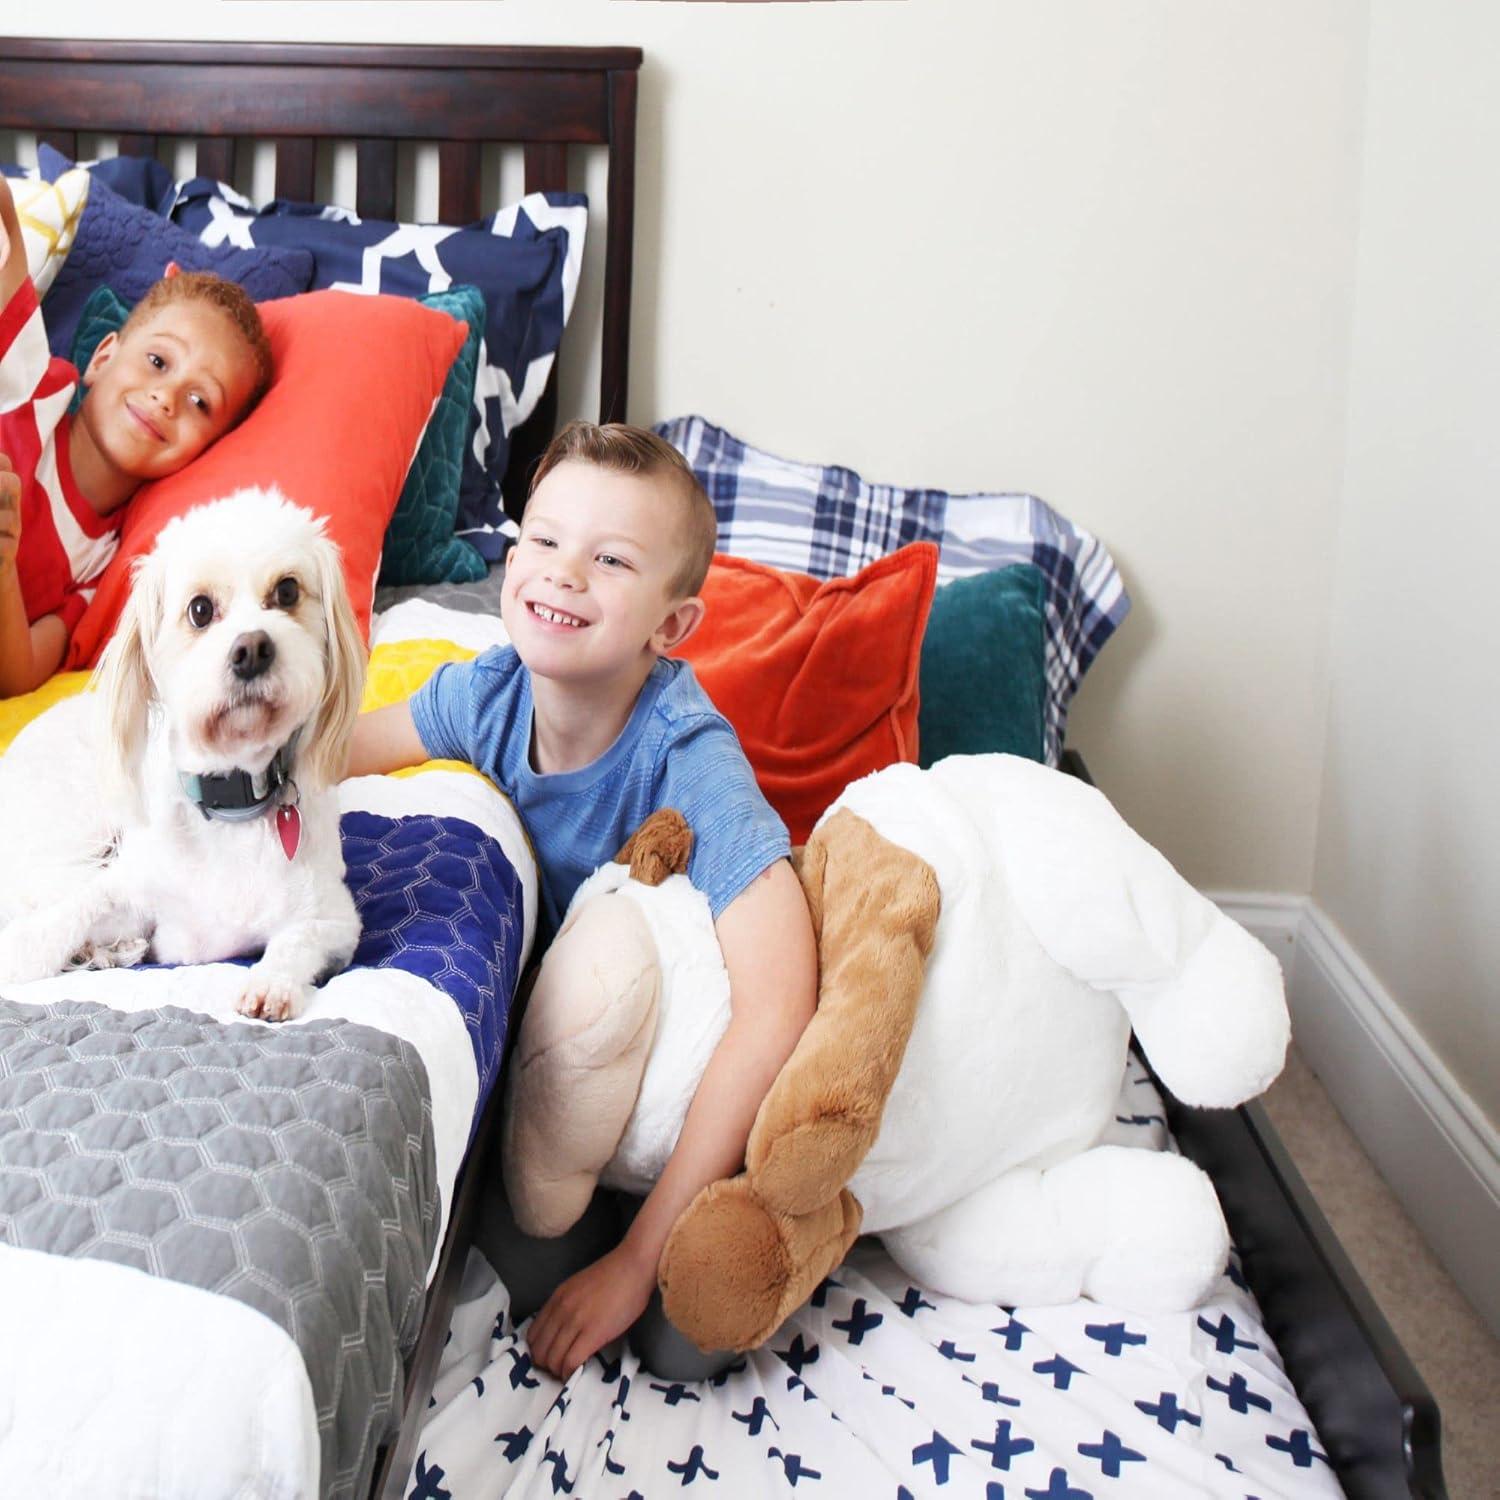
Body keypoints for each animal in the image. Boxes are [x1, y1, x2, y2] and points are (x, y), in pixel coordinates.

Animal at [0, 489, 366, 1020]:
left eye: (287, 592)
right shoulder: (132, 887)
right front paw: (24, 948)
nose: (252, 649)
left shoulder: (335, 917)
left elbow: (297, 939)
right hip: (78, 826)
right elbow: (84, 903)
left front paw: (271, 984)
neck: (232, 802)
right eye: (199, 610)